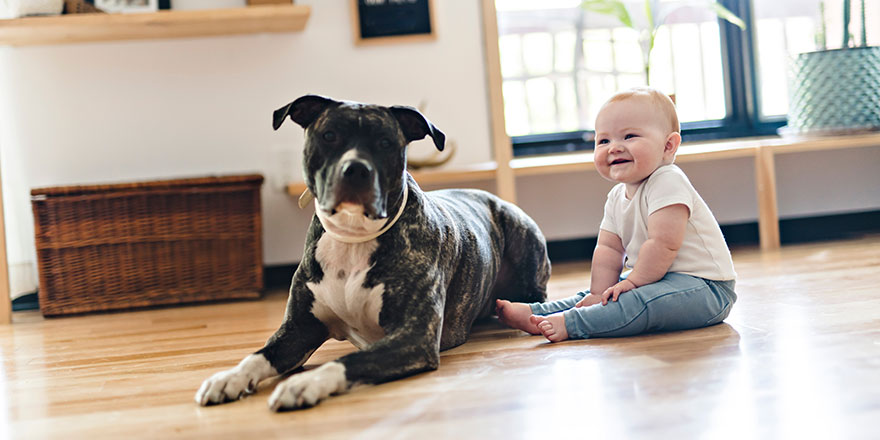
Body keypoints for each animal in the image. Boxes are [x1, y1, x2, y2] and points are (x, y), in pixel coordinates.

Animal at [198, 94, 552, 410]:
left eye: (384, 142)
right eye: (329, 136)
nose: (356, 169)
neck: (353, 237)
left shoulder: (413, 337)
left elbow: (351, 360)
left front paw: (305, 383)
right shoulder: (298, 330)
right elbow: (259, 355)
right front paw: (228, 378)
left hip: (521, 233)